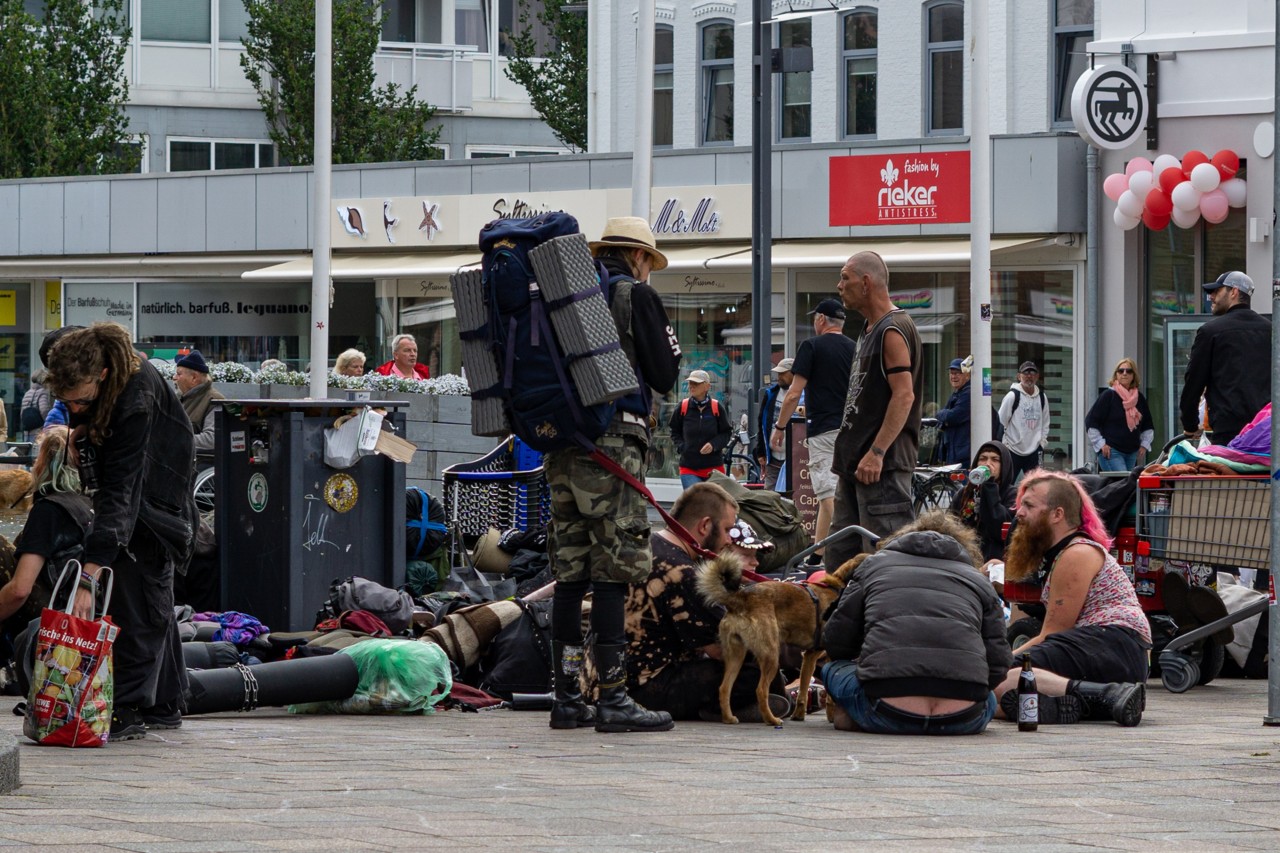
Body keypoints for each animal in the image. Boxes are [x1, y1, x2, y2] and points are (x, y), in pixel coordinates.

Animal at [696, 550, 865, 722]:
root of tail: (740, 598)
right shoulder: (824, 656)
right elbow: (829, 695)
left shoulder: (809, 657)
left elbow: (803, 691)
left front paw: (799, 715)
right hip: (771, 655)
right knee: (761, 690)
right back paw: (771, 720)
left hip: (736, 656)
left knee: (724, 688)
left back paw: (729, 718)